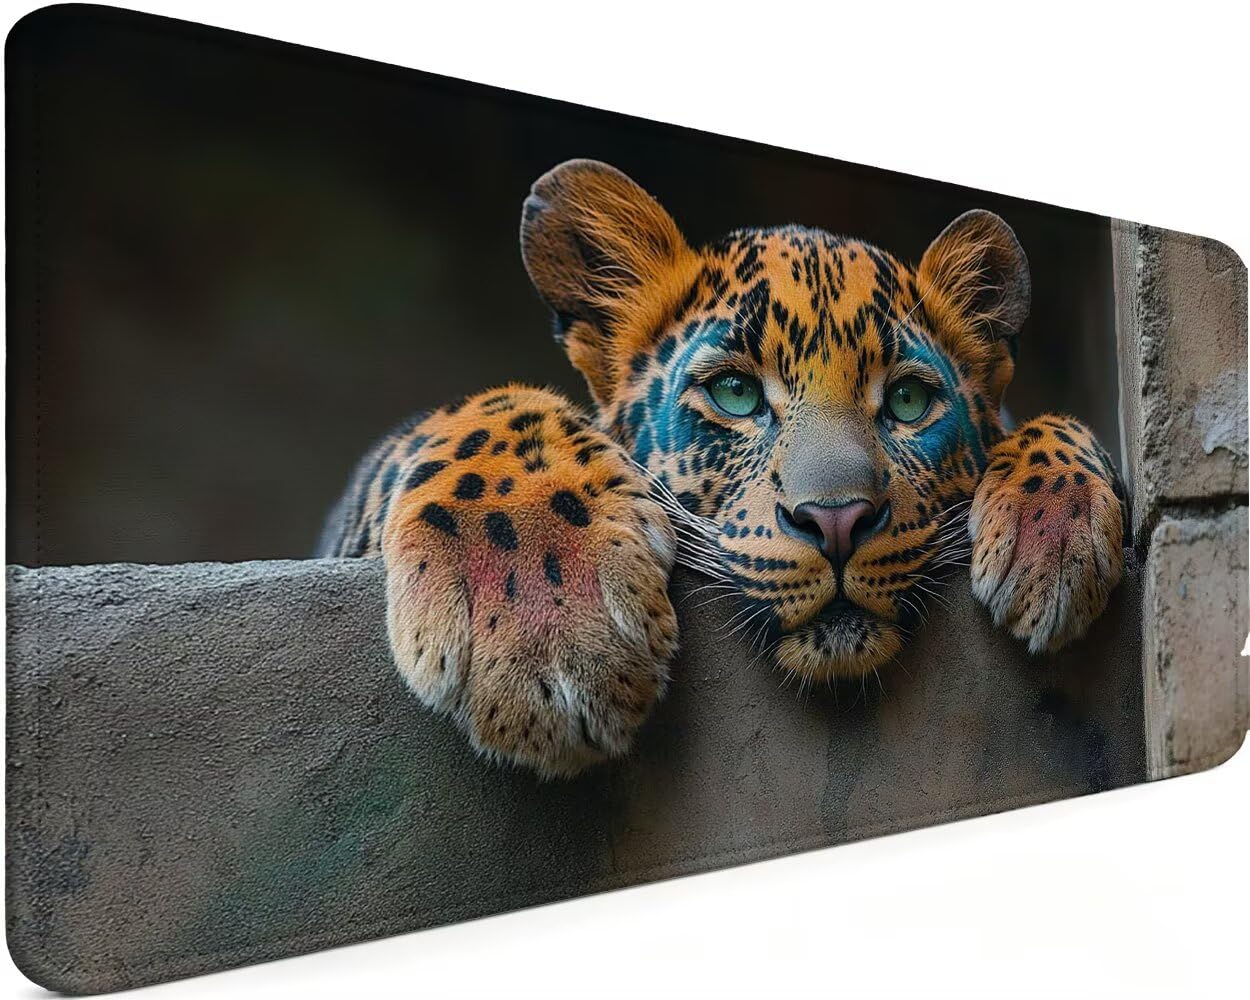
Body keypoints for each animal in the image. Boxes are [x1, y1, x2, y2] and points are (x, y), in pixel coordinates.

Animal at [318, 159, 1128, 779]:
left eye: (906, 401)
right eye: (735, 392)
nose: (838, 521)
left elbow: (1052, 424)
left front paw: (1056, 534)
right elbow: (489, 404)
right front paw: (543, 621)